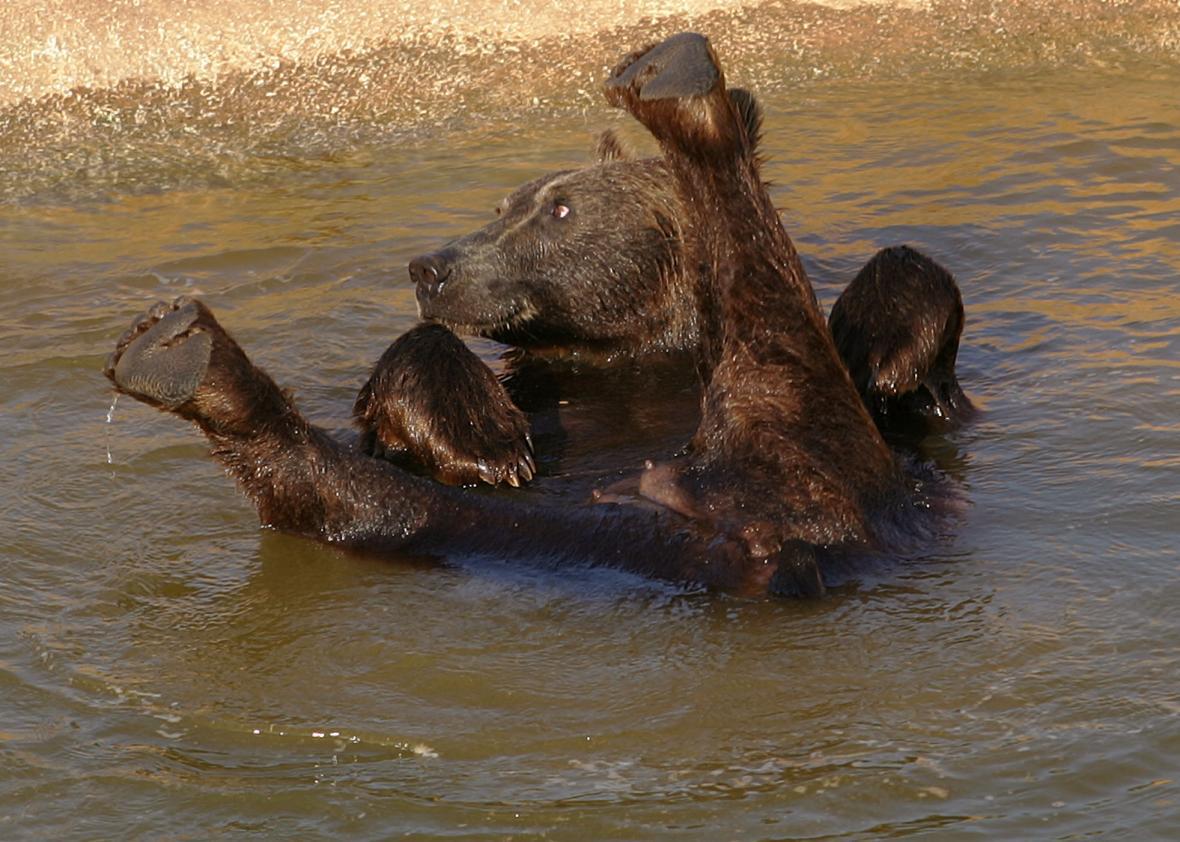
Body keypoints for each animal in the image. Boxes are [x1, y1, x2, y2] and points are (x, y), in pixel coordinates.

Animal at [106, 32, 943, 594]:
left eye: (561, 209)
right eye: (503, 204)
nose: (430, 266)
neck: (628, 355)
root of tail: (748, 545)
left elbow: (902, 292)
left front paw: (883, 351)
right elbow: (415, 373)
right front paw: (491, 441)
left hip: (824, 475)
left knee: (780, 372)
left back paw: (682, 98)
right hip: (448, 525)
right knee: (319, 486)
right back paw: (177, 352)